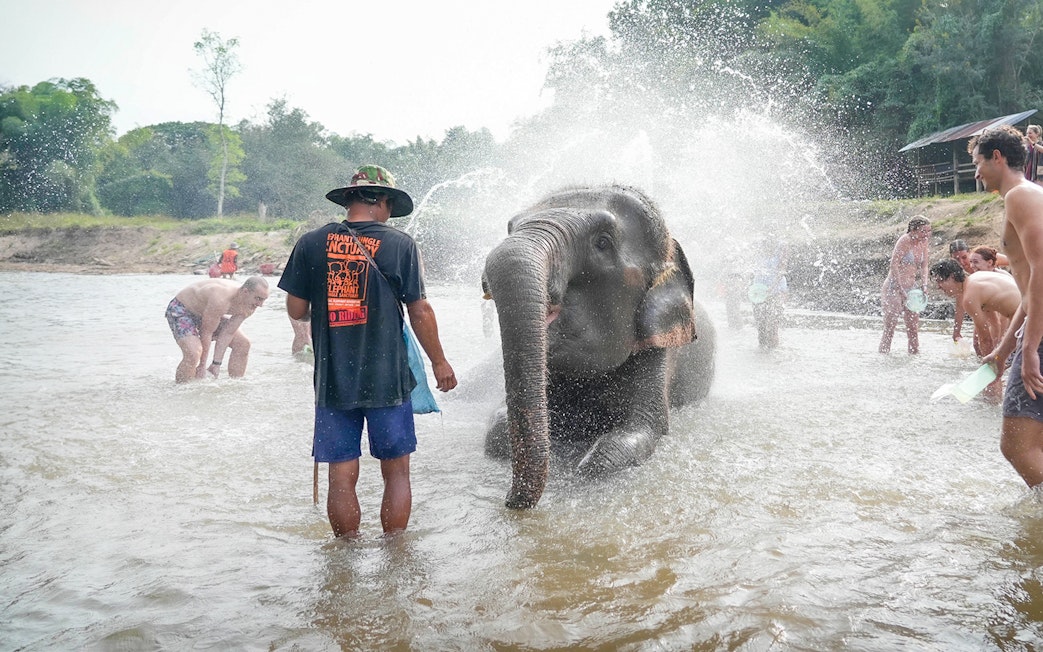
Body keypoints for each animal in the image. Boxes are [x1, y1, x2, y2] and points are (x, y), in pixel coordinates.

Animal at [482, 184, 717, 509]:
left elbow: (642, 430)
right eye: (510, 227)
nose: (508, 501)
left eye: (602, 242)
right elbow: (496, 431)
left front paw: (587, 463)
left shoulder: (662, 349)